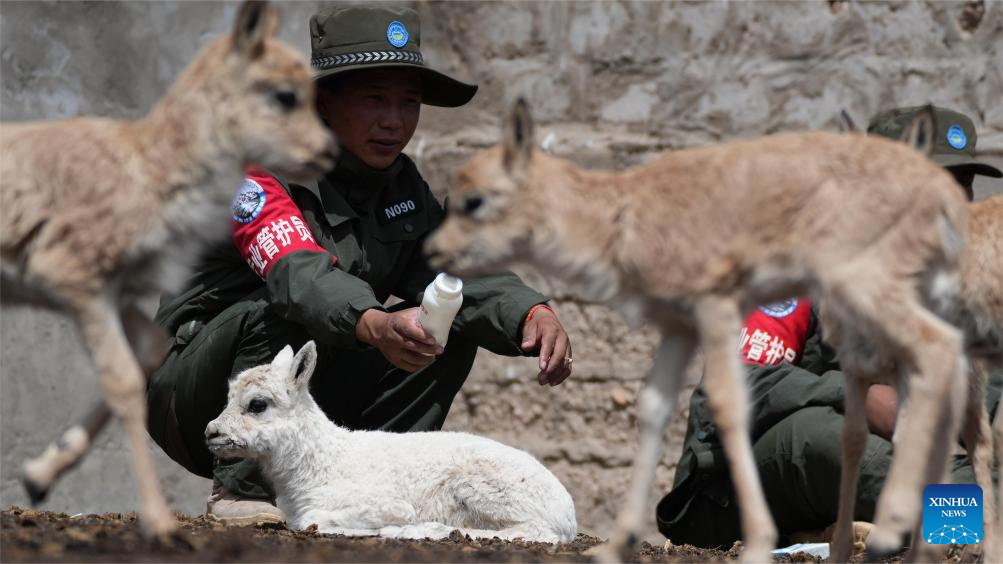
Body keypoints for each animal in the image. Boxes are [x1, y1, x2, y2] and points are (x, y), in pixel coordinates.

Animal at [0, 1, 337, 533]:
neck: (146, 171)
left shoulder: (116, 291)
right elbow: (120, 378)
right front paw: (160, 522)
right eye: (285, 94)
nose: (328, 151)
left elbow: (150, 351)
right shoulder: (73, 276)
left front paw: (38, 475)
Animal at [204, 341, 581, 541]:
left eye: (258, 404)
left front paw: (386, 529)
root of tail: (568, 514)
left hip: (488, 488)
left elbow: (313, 520)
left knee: (536, 532)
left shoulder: (383, 502)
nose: (211, 433)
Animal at [425, 97, 970, 557]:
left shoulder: (716, 305)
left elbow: (730, 404)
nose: (431, 252)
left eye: (474, 200)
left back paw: (893, 529)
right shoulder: (677, 325)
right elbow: (652, 408)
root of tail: (944, 197)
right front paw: (614, 546)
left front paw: (757, 544)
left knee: (937, 354)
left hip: (867, 288)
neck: (623, 216)